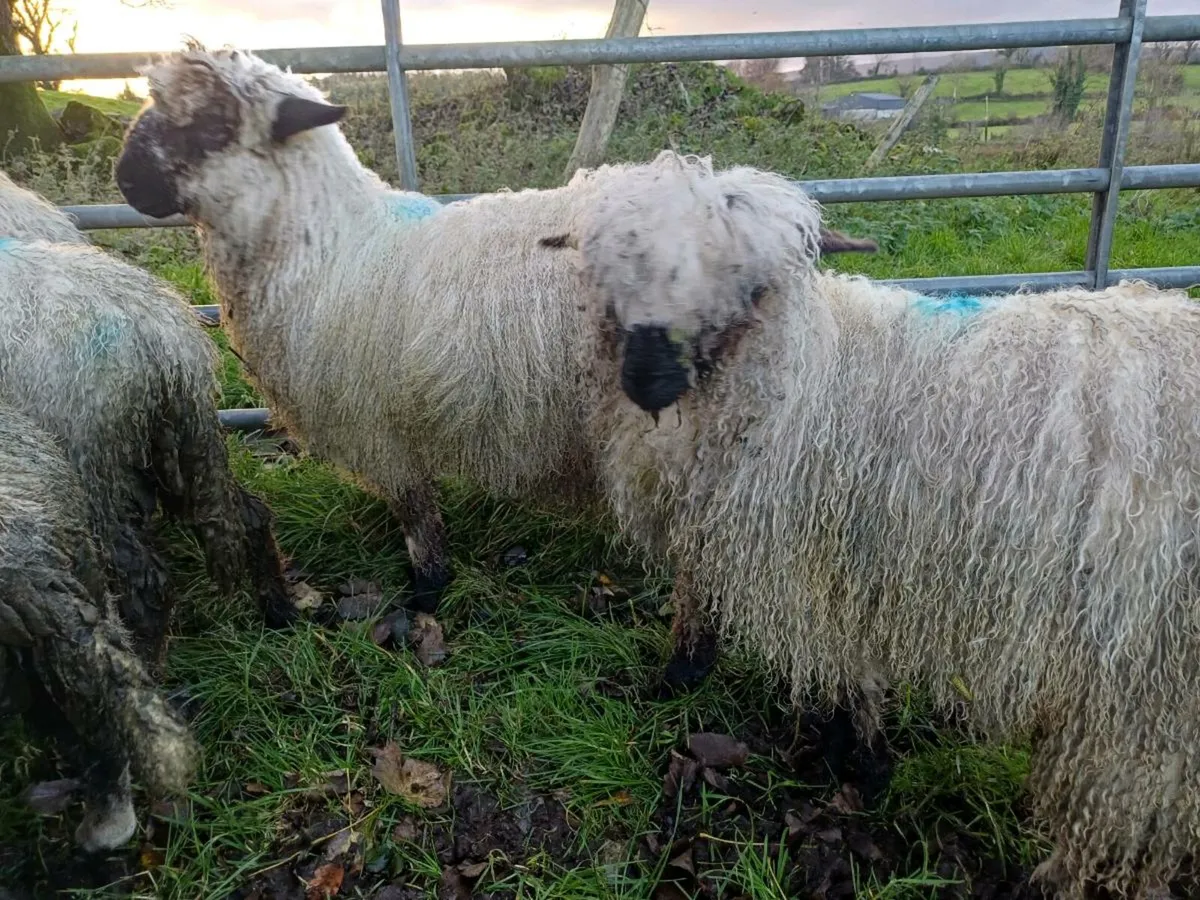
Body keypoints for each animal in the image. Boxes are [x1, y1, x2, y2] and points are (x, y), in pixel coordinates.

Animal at [0, 172, 296, 664]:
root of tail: (164, 341)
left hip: (91, 463)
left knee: (146, 584)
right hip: (185, 444)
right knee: (249, 516)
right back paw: (279, 613)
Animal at [553, 149, 1200, 898]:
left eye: (750, 287)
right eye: (617, 274)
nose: (648, 378)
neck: (801, 375)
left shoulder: (818, 565)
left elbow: (838, 672)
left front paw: (850, 763)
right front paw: (683, 680)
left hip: (1139, 680)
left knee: (1124, 801)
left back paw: (1059, 876)